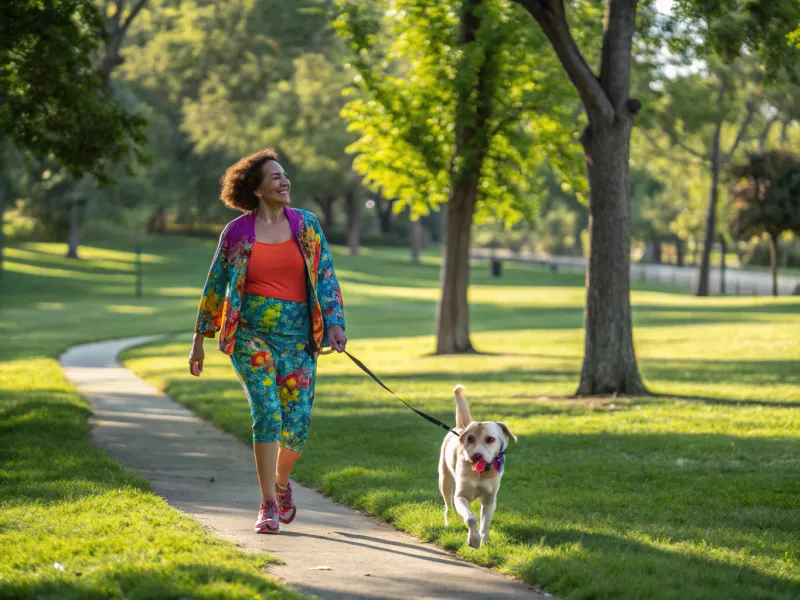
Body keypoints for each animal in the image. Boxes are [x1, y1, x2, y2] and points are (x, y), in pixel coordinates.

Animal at [440, 384, 516, 548]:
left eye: (490, 439)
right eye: (470, 438)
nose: (476, 455)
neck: (482, 472)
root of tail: (461, 426)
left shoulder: (490, 499)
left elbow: (485, 522)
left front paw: (484, 540)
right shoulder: (461, 496)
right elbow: (471, 517)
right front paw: (474, 540)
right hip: (445, 480)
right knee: (448, 504)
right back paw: (450, 521)